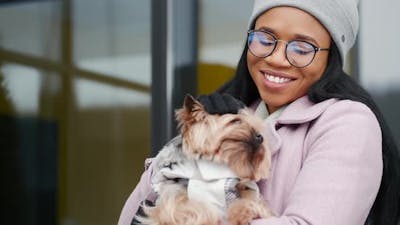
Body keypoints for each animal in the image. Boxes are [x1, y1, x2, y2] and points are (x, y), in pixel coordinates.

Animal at [138, 95, 272, 225]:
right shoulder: (173, 194)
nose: (260, 137)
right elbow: (191, 209)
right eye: (236, 121)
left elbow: (251, 200)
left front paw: (243, 212)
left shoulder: (240, 188)